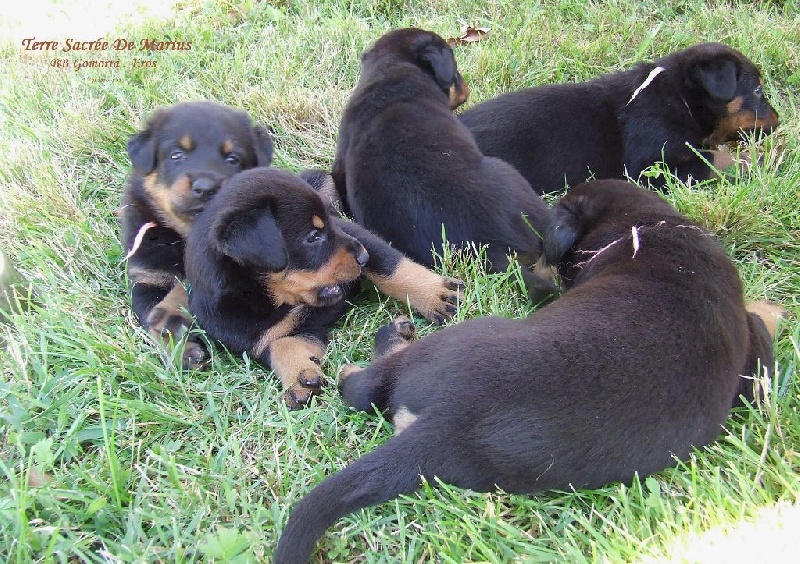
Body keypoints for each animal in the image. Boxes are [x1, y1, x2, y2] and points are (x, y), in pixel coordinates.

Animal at [122, 99, 276, 368]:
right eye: (176, 155)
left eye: (233, 158)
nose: (206, 188)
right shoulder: (147, 278)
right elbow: (153, 317)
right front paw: (182, 352)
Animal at [184, 167, 462, 410]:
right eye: (312, 237)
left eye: (326, 227)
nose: (362, 257)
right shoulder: (264, 335)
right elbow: (279, 345)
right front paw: (299, 376)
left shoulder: (353, 232)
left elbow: (391, 267)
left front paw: (435, 295)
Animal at [274, 178, 780, 560]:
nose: (529, 271)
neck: (644, 228)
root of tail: (447, 429)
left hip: (460, 339)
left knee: (361, 385)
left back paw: (387, 341)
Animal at [460, 41, 780, 194]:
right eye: (757, 90)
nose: (778, 122)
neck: (676, 97)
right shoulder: (650, 167)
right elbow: (714, 159)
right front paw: (765, 159)